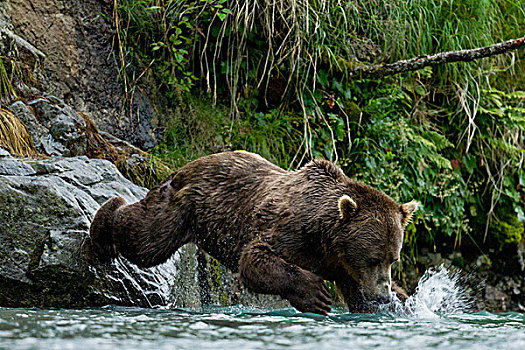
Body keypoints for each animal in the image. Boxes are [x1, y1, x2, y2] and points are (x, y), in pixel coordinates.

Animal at [90, 150, 418, 314]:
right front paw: (316, 295)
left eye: (393, 259)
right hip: (184, 208)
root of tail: (186, 166)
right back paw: (106, 220)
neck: (325, 238)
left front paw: (402, 302)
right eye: (373, 258)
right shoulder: (289, 231)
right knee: (147, 241)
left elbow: (358, 298)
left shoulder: (341, 266)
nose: (383, 294)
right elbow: (255, 259)